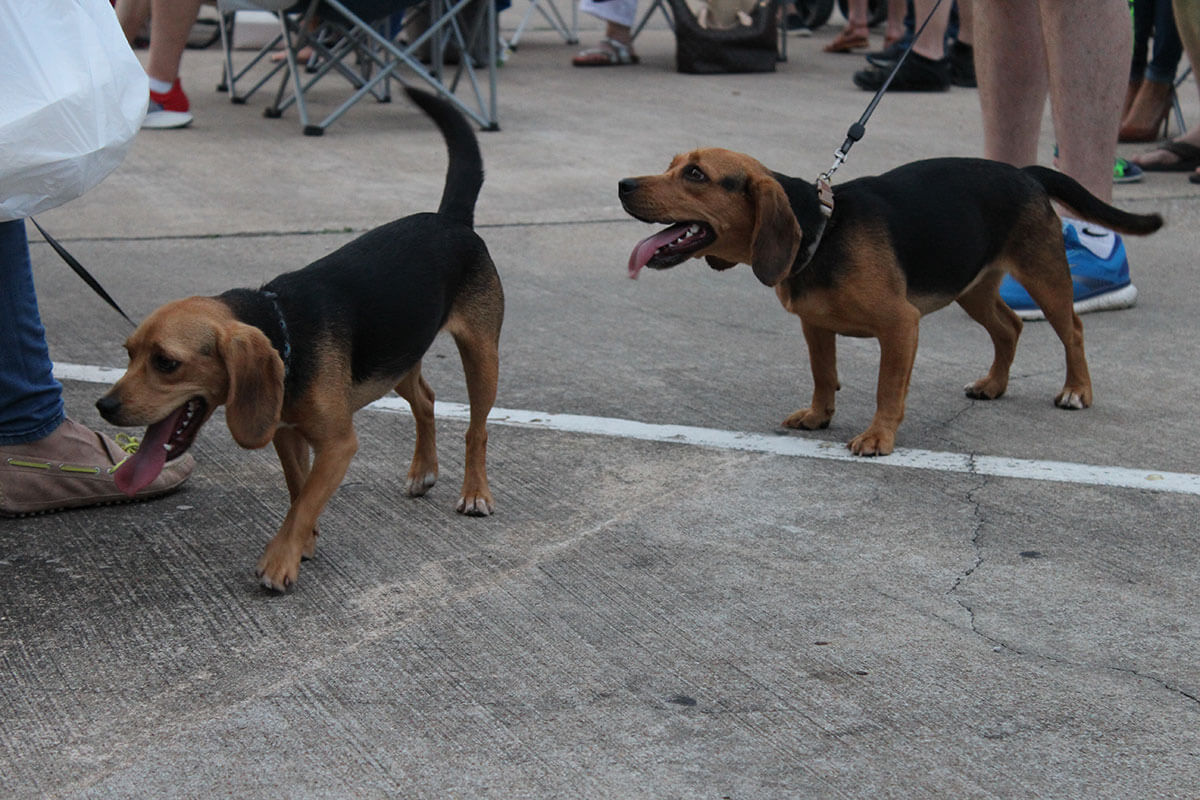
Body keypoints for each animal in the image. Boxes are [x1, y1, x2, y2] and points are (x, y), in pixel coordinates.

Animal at [97, 90, 501, 592]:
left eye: (166, 362)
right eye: (129, 354)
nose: (104, 407)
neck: (283, 330)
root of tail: (451, 219)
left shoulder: (339, 444)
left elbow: (307, 497)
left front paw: (280, 560)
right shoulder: (286, 433)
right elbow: (298, 489)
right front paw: (303, 540)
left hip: (481, 354)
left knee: (476, 428)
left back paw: (475, 492)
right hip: (399, 356)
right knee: (425, 401)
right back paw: (423, 470)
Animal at [619, 149, 1161, 455]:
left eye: (695, 174)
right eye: (673, 166)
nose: (622, 184)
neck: (822, 231)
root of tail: (1022, 171)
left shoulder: (901, 326)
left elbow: (887, 390)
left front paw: (878, 438)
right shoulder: (815, 326)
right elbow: (823, 374)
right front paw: (818, 415)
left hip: (1044, 277)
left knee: (1072, 330)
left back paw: (1076, 390)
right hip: (971, 286)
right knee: (1009, 327)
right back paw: (993, 385)